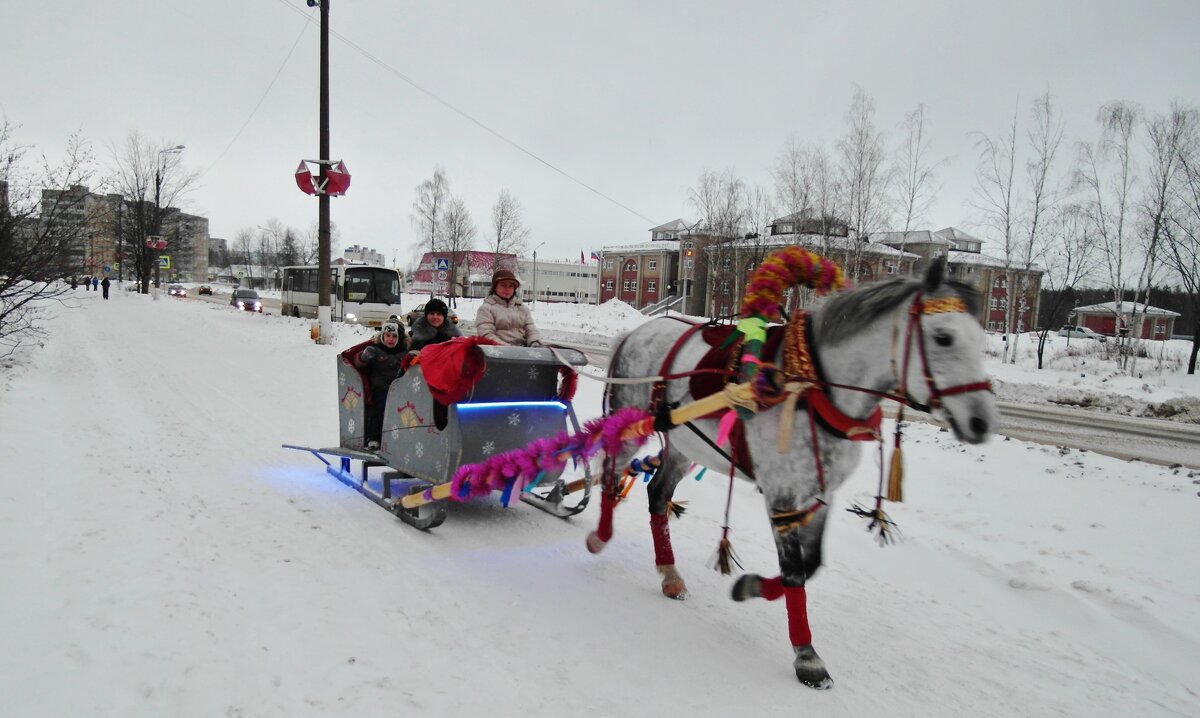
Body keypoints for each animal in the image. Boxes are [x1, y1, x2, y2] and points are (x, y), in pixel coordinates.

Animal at [588, 260, 993, 691]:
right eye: (944, 337)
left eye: (980, 339)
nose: (982, 422)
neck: (813, 388)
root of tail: (636, 333)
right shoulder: (781, 494)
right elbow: (795, 572)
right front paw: (807, 656)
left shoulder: (820, 493)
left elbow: (810, 565)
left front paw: (750, 587)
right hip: (630, 427)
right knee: (611, 475)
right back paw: (600, 535)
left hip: (685, 445)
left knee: (658, 497)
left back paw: (670, 574)